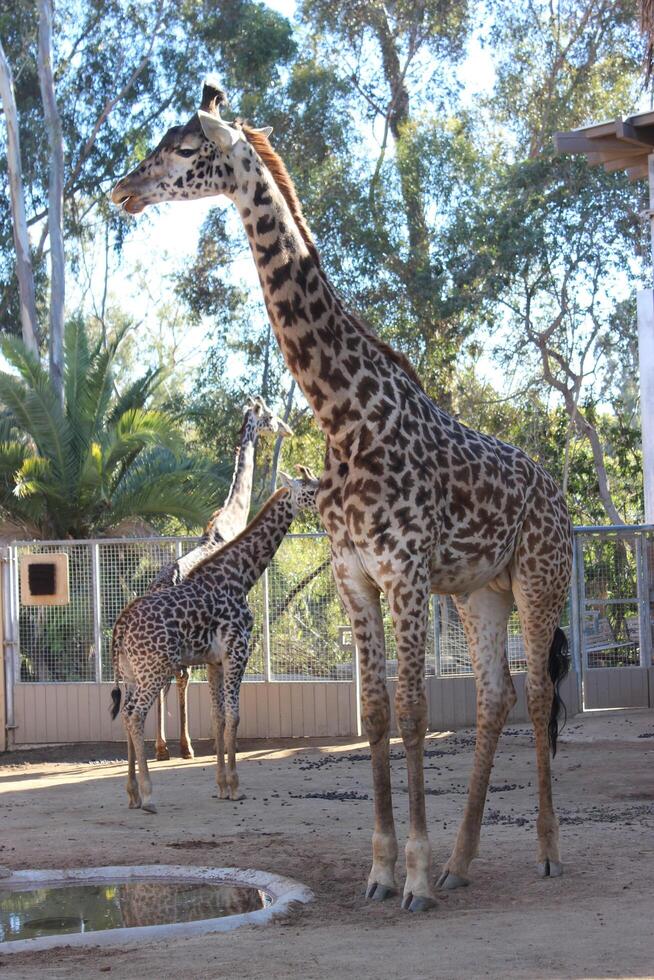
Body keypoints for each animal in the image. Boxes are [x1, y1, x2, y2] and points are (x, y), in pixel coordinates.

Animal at [110, 470, 320, 816]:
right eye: (311, 489)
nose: (330, 496)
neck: (240, 576)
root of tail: (120, 625)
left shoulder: (213, 661)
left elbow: (217, 717)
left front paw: (221, 786)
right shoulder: (238, 652)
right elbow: (234, 716)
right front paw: (235, 787)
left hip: (131, 673)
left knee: (126, 713)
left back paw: (131, 794)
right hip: (154, 669)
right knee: (135, 715)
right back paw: (149, 795)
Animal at [150, 394, 294, 760]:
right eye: (270, 415)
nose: (287, 428)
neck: (229, 520)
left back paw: (161, 746)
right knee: (178, 678)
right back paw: (182, 746)